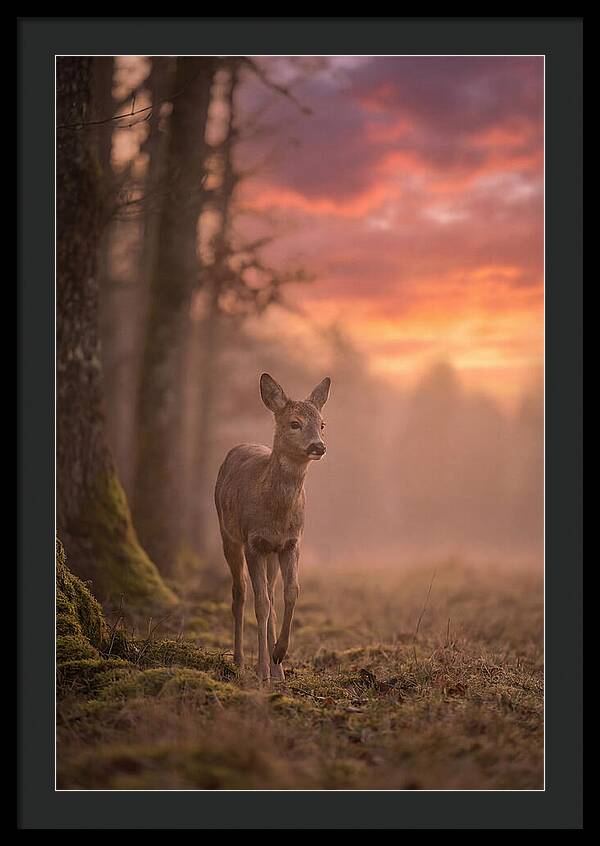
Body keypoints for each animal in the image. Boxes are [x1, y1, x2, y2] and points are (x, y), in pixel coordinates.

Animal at [214, 372, 331, 684]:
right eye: (295, 423)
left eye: (322, 424)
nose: (318, 446)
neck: (276, 514)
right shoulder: (254, 542)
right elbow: (261, 604)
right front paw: (262, 671)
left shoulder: (291, 543)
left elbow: (291, 592)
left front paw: (279, 654)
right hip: (228, 535)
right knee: (240, 593)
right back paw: (241, 661)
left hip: (271, 554)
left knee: (269, 592)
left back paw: (277, 669)